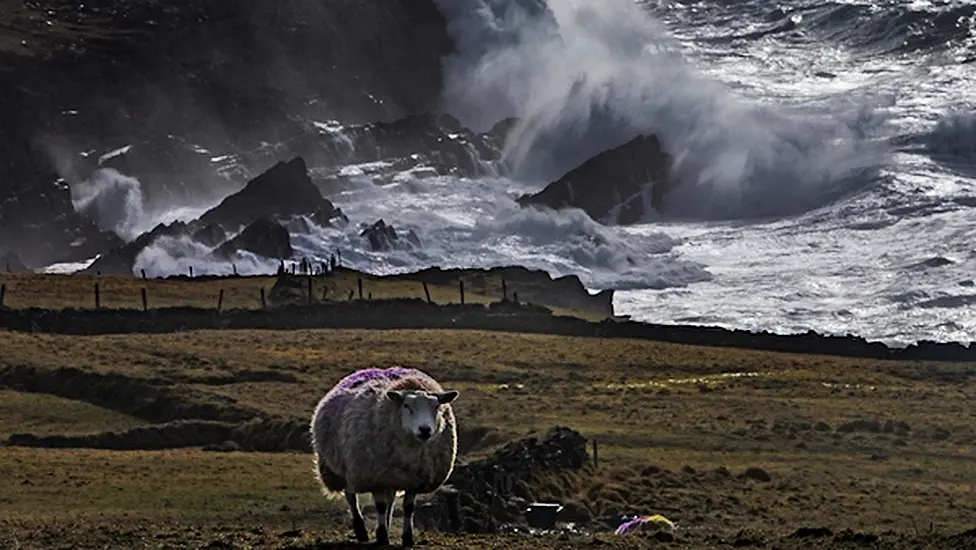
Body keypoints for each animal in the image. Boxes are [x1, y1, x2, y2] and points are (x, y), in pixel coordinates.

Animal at [314, 366, 464, 548]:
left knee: (390, 501)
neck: (411, 448)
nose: (425, 430)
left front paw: (407, 538)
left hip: (390, 476)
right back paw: (361, 530)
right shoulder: (374, 477)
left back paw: (386, 522)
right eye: (406, 406)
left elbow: (408, 508)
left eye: (436, 407)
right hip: (346, 469)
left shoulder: (414, 480)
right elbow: (379, 506)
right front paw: (382, 536)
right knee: (351, 496)